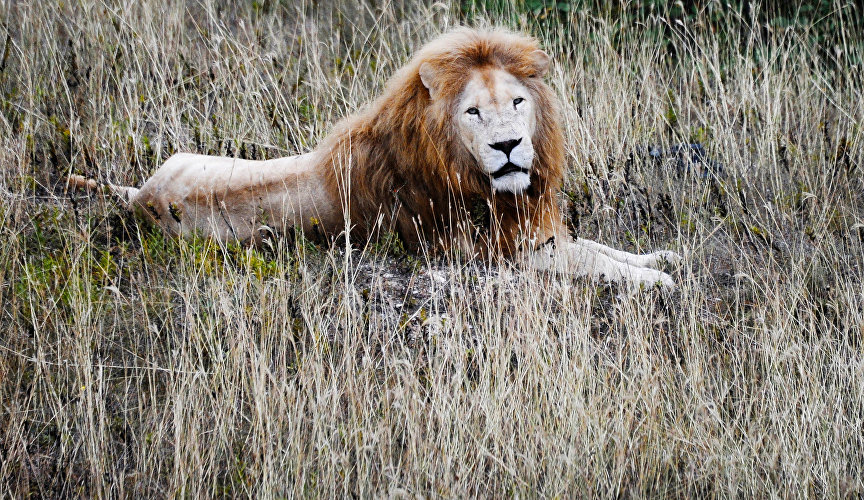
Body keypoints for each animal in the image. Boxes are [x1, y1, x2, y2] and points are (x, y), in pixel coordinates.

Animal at [69, 28, 680, 290]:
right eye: (473, 113)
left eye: (517, 103)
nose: (508, 146)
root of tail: (142, 195)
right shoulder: (484, 252)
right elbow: (589, 261)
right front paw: (659, 281)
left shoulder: (530, 228)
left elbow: (597, 246)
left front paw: (660, 256)